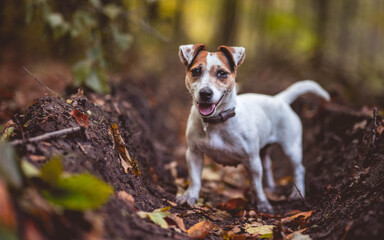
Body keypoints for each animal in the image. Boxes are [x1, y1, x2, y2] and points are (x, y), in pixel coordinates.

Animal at [176, 44, 328, 213]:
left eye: (222, 73)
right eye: (196, 71)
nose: (205, 93)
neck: (217, 121)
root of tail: (279, 99)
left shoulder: (252, 160)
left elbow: (255, 184)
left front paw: (262, 203)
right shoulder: (194, 154)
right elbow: (195, 179)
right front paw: (190, 196)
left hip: (291, 148)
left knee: (299, 169)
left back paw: (297, 193)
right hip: (264, 149)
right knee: (267, 165)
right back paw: (270, 187)